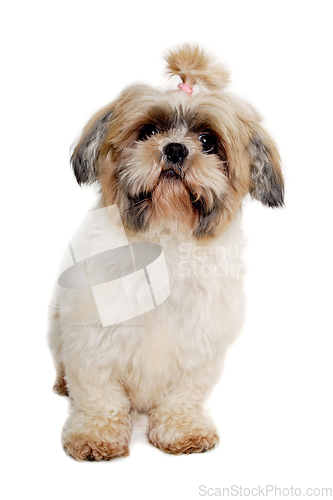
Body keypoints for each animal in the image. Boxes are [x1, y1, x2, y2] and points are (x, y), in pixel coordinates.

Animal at [48, 46, 282, 460]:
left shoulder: (198, 346)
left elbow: (183, 394)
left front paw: (182, 429)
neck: (164, 239)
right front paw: (96, 434)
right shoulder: (92, 341)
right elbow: (98, 394)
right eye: (148, 132)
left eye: (207, 141)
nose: (175, 148)